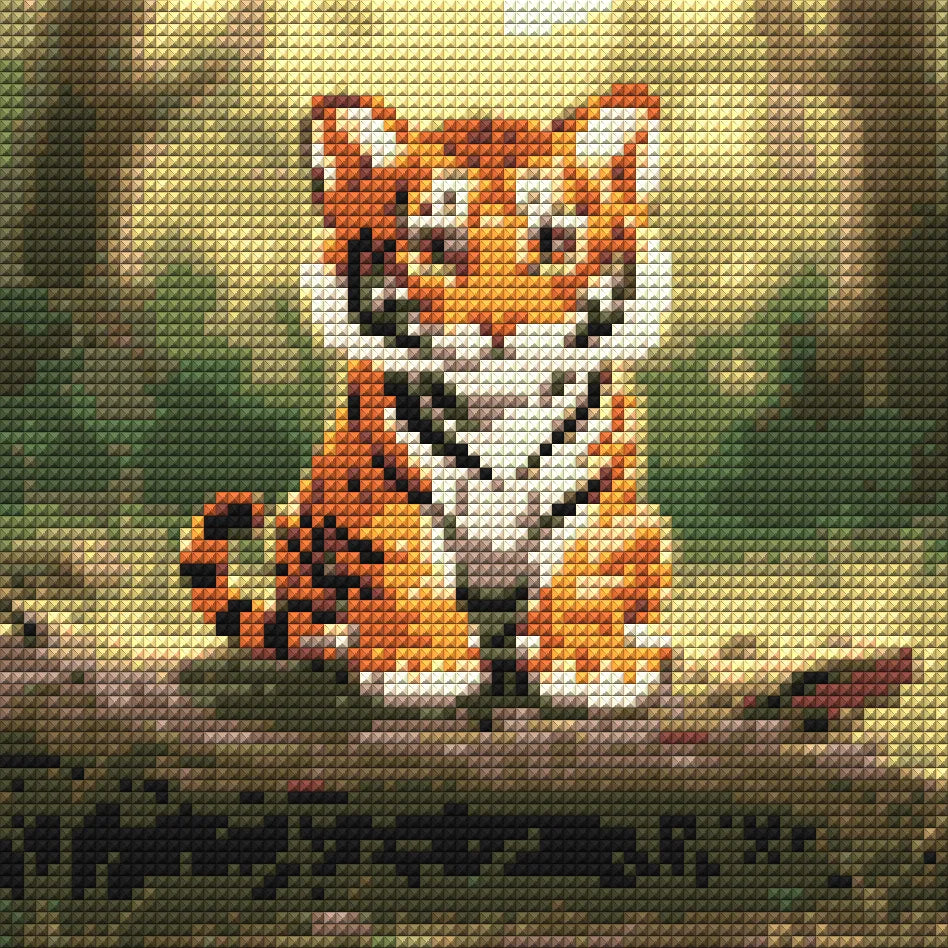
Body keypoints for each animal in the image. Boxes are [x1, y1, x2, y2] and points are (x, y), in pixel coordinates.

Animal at [180, 84, 674, 708]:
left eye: (553, 242)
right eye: (437, 247)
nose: (501, 325)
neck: (497, 413)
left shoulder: (597, 491)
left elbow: (581, 572)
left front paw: (592, 666)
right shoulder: (379, 483)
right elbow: (406, 566)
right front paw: (424, 665)